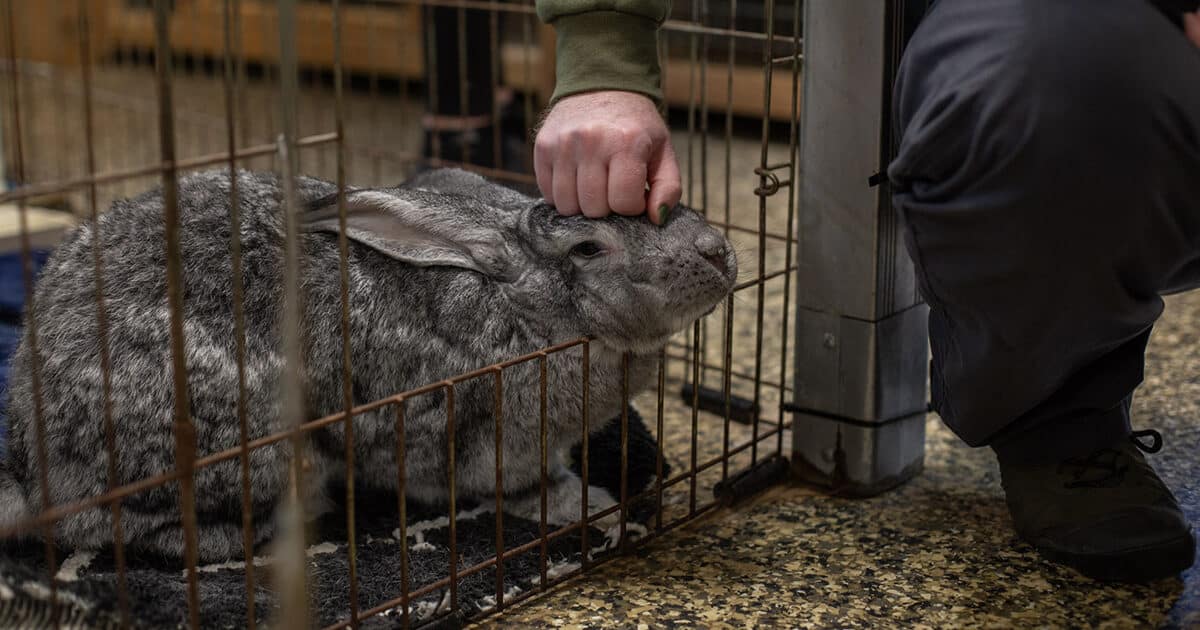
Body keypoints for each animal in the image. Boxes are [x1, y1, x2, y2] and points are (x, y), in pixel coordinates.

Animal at [0, 167, 737, 562]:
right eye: (587, 249)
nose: (721, 252)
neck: (523, 311)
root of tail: (34, 463)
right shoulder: (478, 442)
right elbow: (521, 487)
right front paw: (591, 507)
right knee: (111, 527)